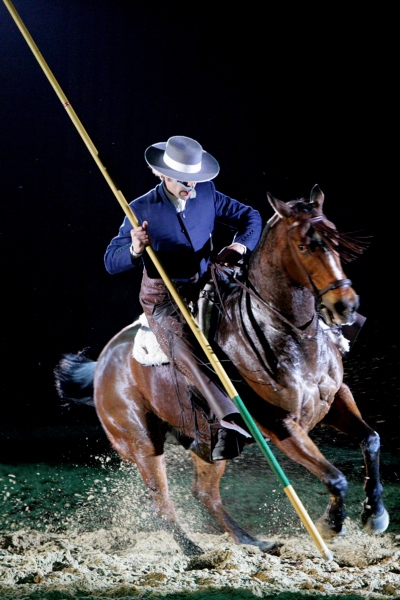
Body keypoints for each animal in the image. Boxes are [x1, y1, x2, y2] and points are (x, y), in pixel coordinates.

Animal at [54, 184, 389, 556]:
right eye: (304, 246)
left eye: (335, 240)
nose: (346, 306)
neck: (282, 332)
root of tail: (102, 364)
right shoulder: (282, 425)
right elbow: (335, 477)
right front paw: (330, 526)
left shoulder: (334, 400)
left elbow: (371, 440)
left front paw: (375, 514)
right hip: (142, 443)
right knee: (162, 504)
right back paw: (194, 553)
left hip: (205, 440)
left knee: (205, 494)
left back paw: (252, 541)